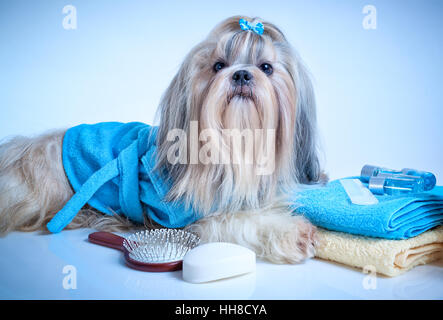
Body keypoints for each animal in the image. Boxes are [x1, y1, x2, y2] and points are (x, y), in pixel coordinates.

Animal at [0, 15, 326, 262]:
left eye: (266, 68)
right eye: (219, 66)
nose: (243, 75)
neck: (234, 149)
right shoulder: (185, 219)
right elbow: (234, 220)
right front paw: (292, 233)